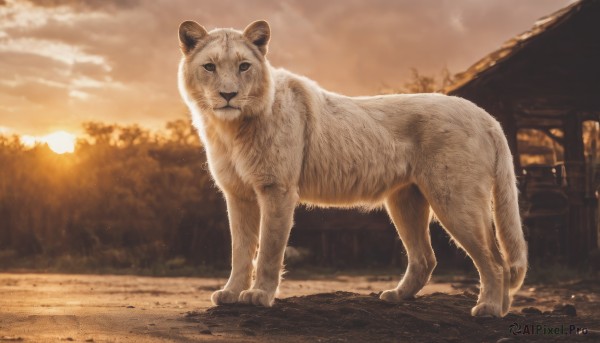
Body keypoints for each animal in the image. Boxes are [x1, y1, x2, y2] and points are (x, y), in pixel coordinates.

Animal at [177, 20, 524, 318]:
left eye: (244, 66)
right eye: (209, 66)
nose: (228, 95)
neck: (230, 128)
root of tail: (485, 115)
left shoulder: (277, 189)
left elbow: (269, 250)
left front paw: (259, 295)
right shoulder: (238, 194)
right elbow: (240, 249)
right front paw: (230, 293)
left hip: (454, 199)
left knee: (495, 261)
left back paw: (490, 309)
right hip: (405, 200)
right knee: (426, 258)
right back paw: (400, 297)